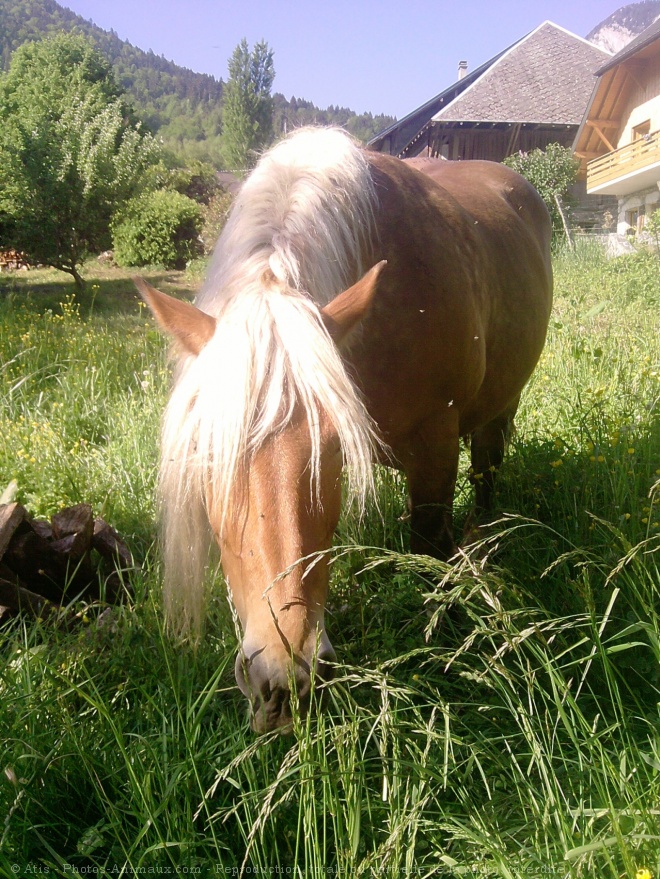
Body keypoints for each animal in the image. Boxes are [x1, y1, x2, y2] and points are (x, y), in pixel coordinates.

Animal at [138, 127, 552, 736]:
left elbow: (429, 550)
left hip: (498, 412)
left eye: (334, 453)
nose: (284, 680)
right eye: (206, 455)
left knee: (487, 474)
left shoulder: (436, 446)